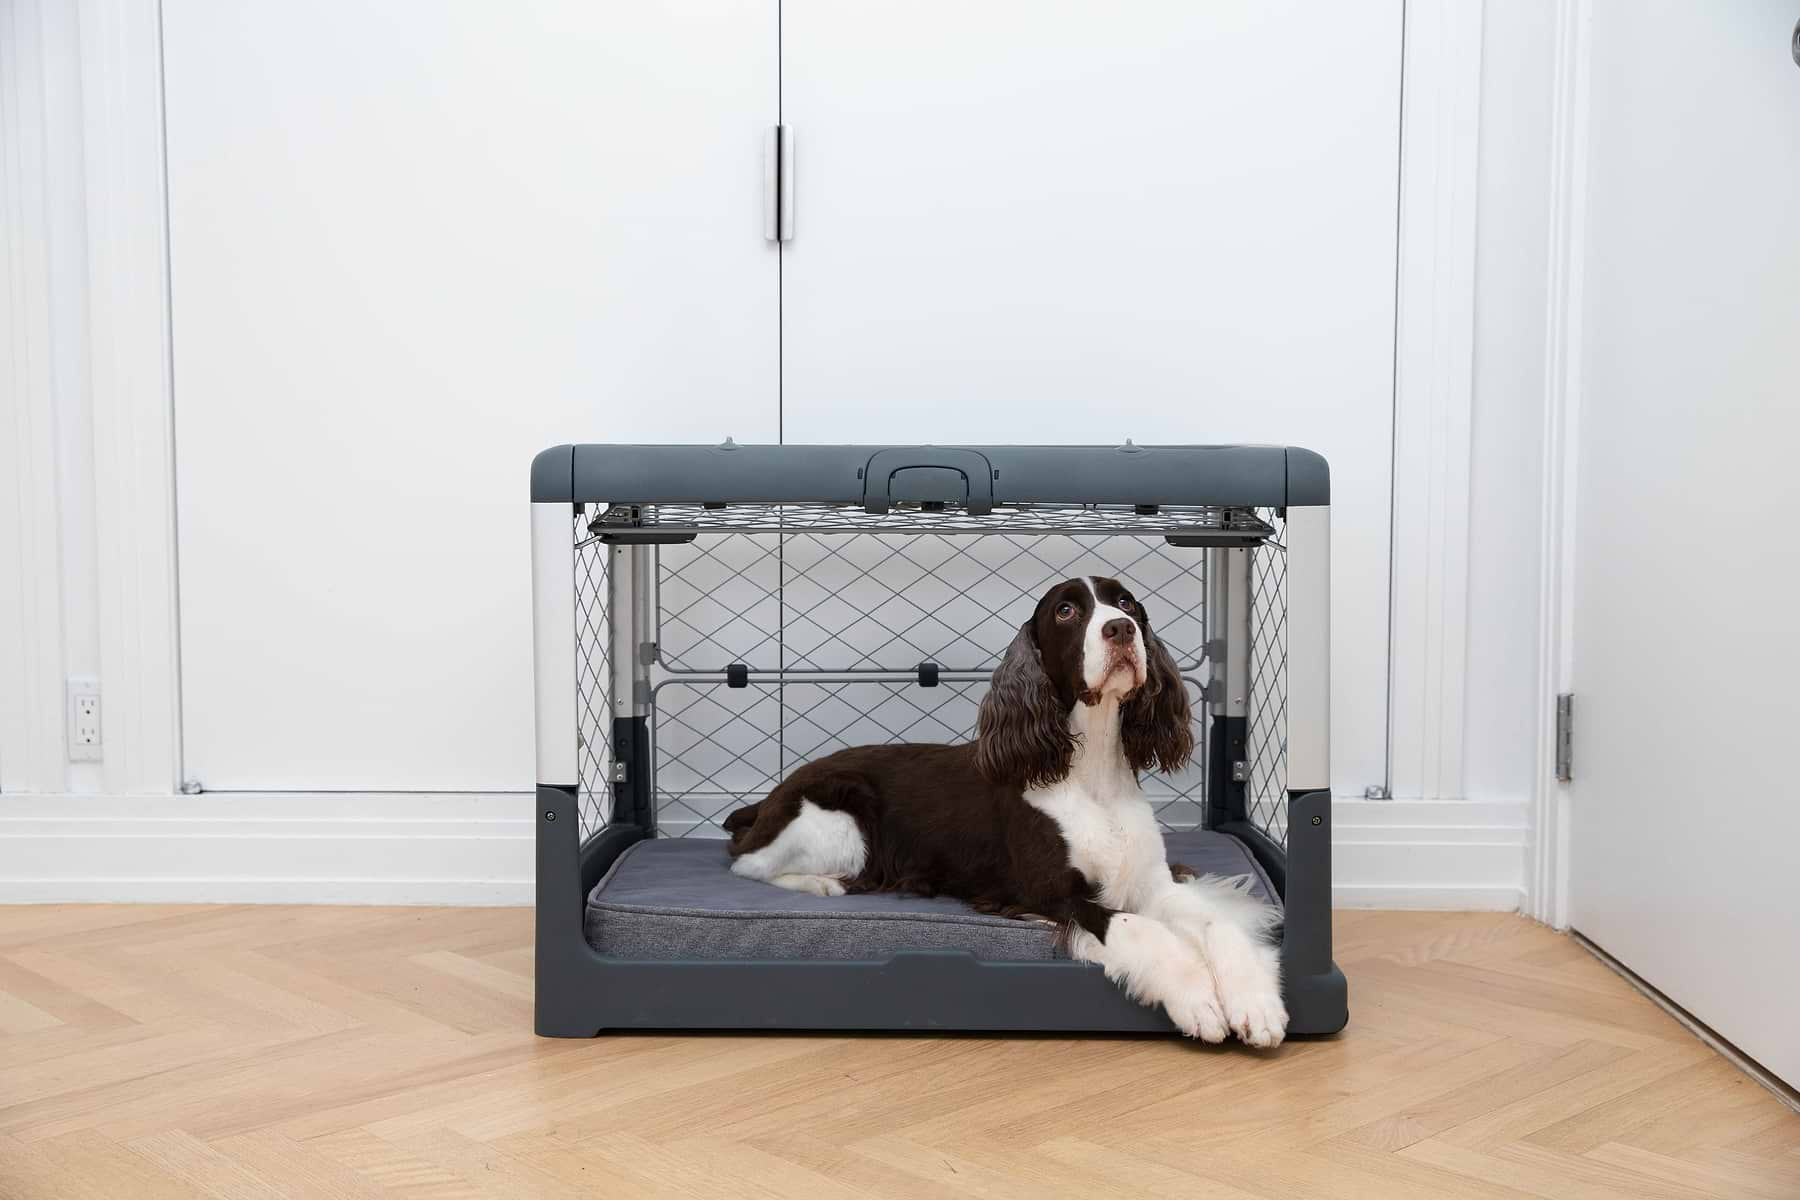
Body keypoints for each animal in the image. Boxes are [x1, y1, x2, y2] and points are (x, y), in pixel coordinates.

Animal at [723, 575, 1288, 1043]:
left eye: (1126, 602)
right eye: (1066, 611)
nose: (1121, 629)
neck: (1092, 772)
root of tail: (770, 798)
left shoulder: (1151, 883)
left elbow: (1216, 920)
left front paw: (1255, 1003)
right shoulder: (1053, 893)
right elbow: (1138, 927)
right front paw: (1198, 1001)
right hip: (839, 811)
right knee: (748, 862)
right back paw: (824, 884)